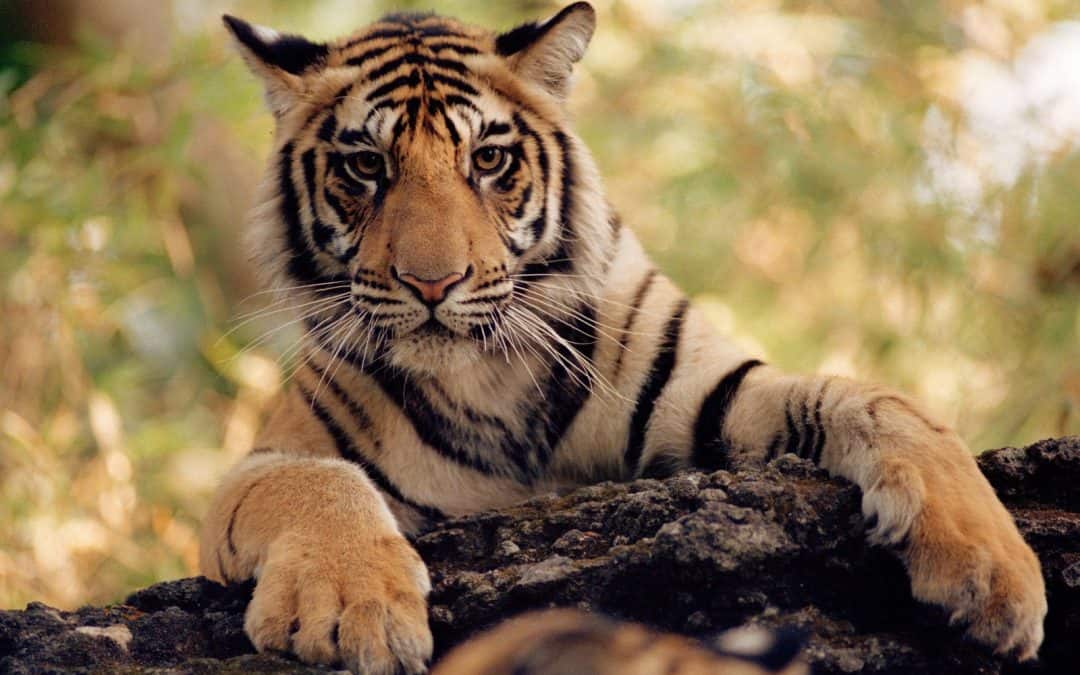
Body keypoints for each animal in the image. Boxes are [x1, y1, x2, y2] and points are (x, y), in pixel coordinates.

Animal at [199, 3, 1047, 674]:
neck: (485, 373)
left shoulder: (712, 393)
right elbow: (317, 481)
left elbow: (882, 401)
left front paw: (994, 572)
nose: (432, 283)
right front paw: (354, 610)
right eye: (366, 166)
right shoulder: (264, 463)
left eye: (489, 159)